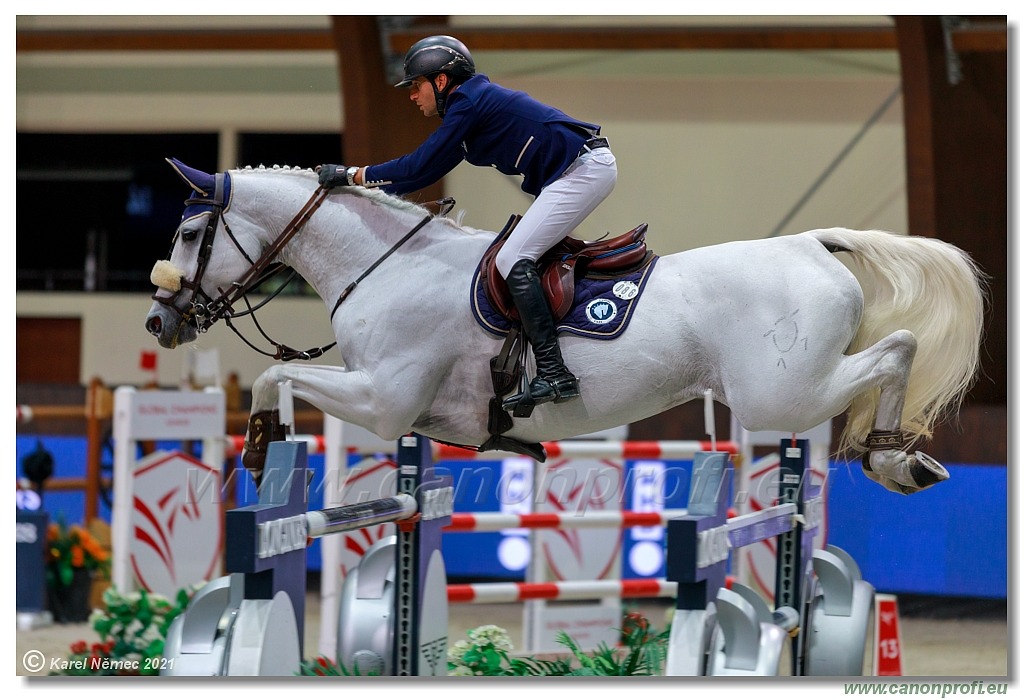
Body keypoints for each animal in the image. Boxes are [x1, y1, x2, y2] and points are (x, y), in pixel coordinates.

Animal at [144, 161, 983, 495]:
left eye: (187, 234)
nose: (157, 322)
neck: (384, 262)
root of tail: (811, 243)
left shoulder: (383, 400)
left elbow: (272, 372)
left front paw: (258, 450)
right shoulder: (391, 403)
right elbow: (278, 370)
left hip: (780, 394)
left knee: (897, 349)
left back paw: (891, 456)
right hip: (790, 388)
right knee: (890, 353)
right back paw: (898, 458)